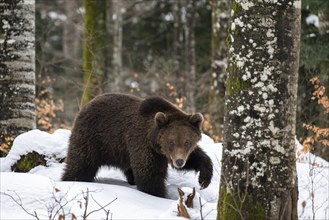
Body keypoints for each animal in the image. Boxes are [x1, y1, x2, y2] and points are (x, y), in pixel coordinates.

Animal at [61, 93, 213, 198]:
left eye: (187, 142)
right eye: (171, 141)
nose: (179, 161)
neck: (154, 140)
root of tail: (87, 105)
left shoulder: (163, 152)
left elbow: (196, 157)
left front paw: (204, 179)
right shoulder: (142, 144)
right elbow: (149, 175)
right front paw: (159, 195)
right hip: (93, 138)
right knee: (81, 163)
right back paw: (71, 180)